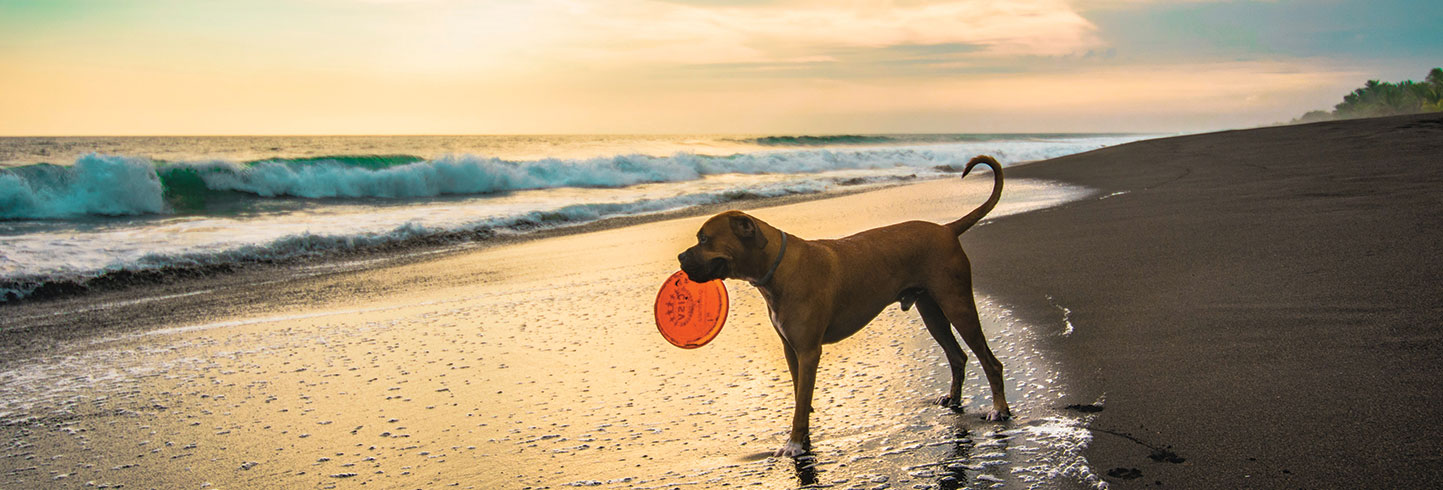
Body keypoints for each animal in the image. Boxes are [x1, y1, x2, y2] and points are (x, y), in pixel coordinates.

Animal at [678, 154, 1010, 458]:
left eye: (705, 239)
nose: (680, 258)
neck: (777, 266)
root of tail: (947, 229)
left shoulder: (809, 351)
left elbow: (801, 402)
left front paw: (795, 443)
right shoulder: (791, 350)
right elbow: (800, 395)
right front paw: (803, 436)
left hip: (957, 304)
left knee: (990, 361)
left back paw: (999, 410)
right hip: (932, 311)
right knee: (957, 356)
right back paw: (954, 399)